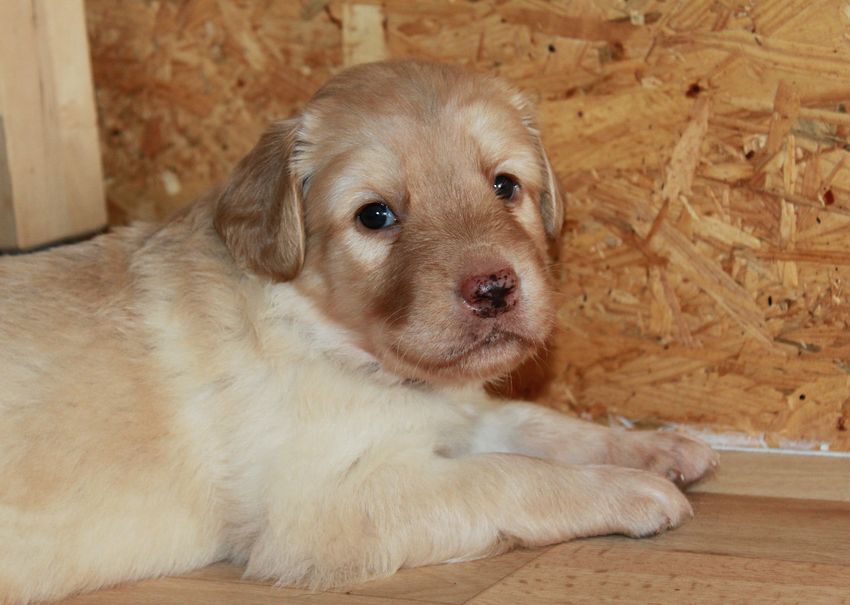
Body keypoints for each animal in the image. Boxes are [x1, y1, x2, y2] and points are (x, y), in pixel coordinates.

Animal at [0, 60, 716, 604]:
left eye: (504, 185)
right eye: (375, 216)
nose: (494, 290)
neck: (332, 341)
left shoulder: (450, 413)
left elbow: (540, 425)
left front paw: (659, 448)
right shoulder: (327, 504)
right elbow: (512, 475)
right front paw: (631, 491)